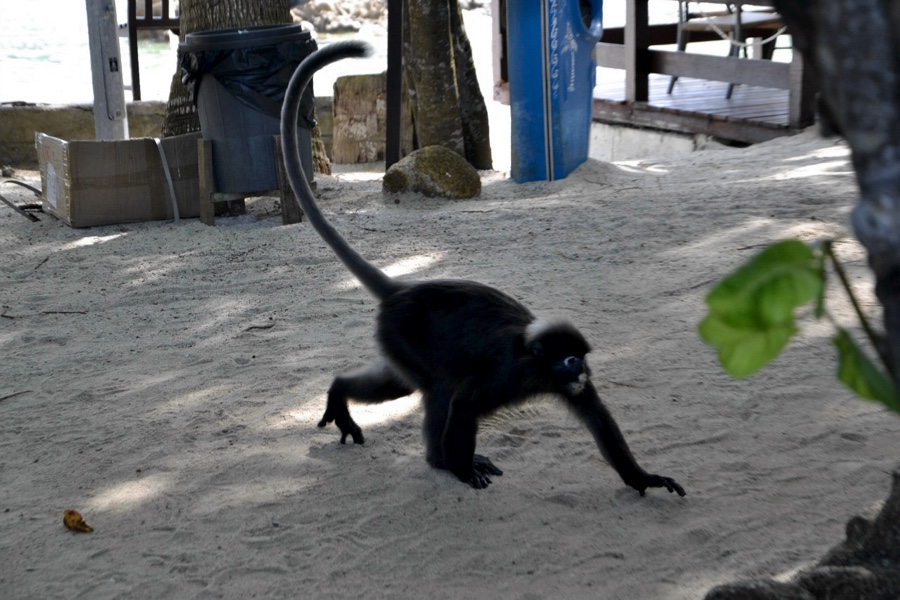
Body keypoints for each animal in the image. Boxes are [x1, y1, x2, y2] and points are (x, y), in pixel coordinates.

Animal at [278, 39, 684, 494]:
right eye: (570, 360)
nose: (583, 373)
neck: (532, 361)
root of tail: (402, 288)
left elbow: (596, 415)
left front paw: (643, 477)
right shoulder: (503, 375)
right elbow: (463, 404)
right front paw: (461, 468)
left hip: (397, 340)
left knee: (402, 383)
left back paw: (340, 390)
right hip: (405, 334)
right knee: (438, 387)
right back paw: (439, 461)